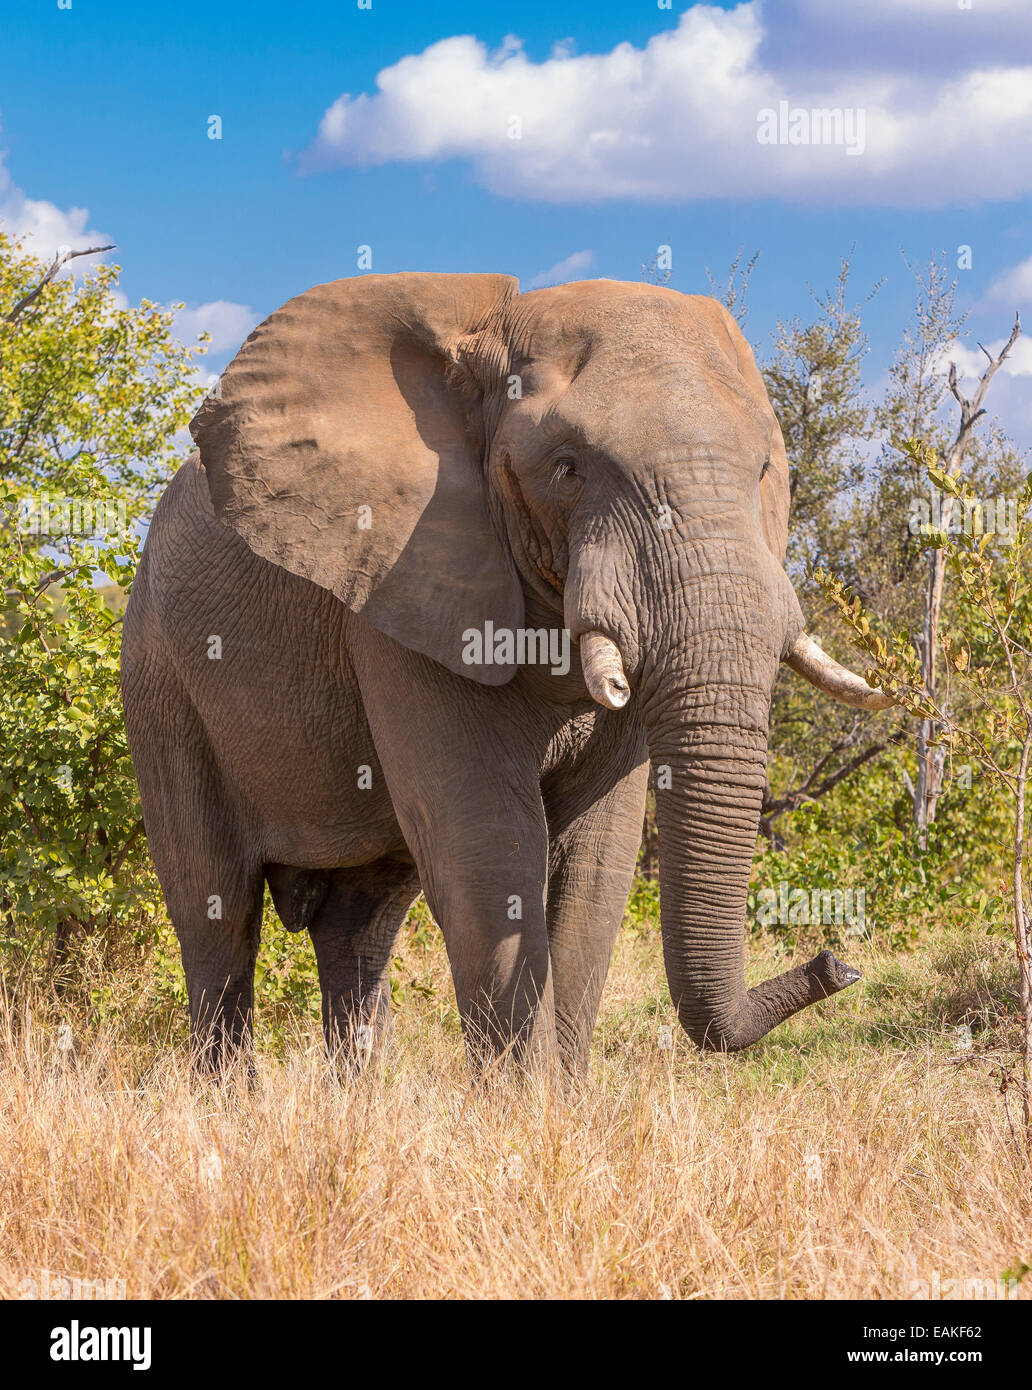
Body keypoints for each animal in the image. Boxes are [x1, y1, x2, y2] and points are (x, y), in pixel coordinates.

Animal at [121, 273, 895, 1073]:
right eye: (566, 467)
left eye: (768, 471)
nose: (837, 965)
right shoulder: (403, 584)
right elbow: (489, 850)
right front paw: (528, 1101)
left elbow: (596, 863)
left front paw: (565, 1096)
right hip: (160, 680)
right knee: (217, 912)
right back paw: (229, 1093)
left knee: (361, 923)